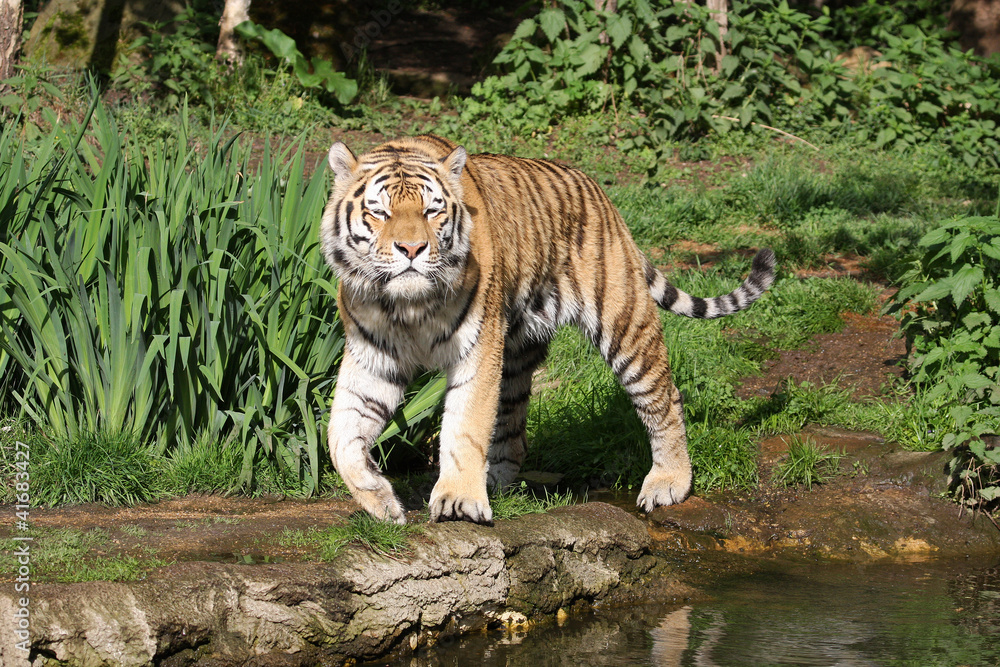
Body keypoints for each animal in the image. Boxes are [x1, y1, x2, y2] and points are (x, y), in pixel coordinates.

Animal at [320, 134, 775, 525]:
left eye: (432, 211)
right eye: (380, 212)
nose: (412, 249)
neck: (407, 305)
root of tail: (598, 191)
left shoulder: (477, 347)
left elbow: (464, 427)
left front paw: (458, 502)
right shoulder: (372, 356)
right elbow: (340, 437)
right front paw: (380, 501)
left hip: (624, 322)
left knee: (665, 399)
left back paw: (669, 483)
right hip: (516, 353)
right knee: (511, 425)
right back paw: (495, 484)